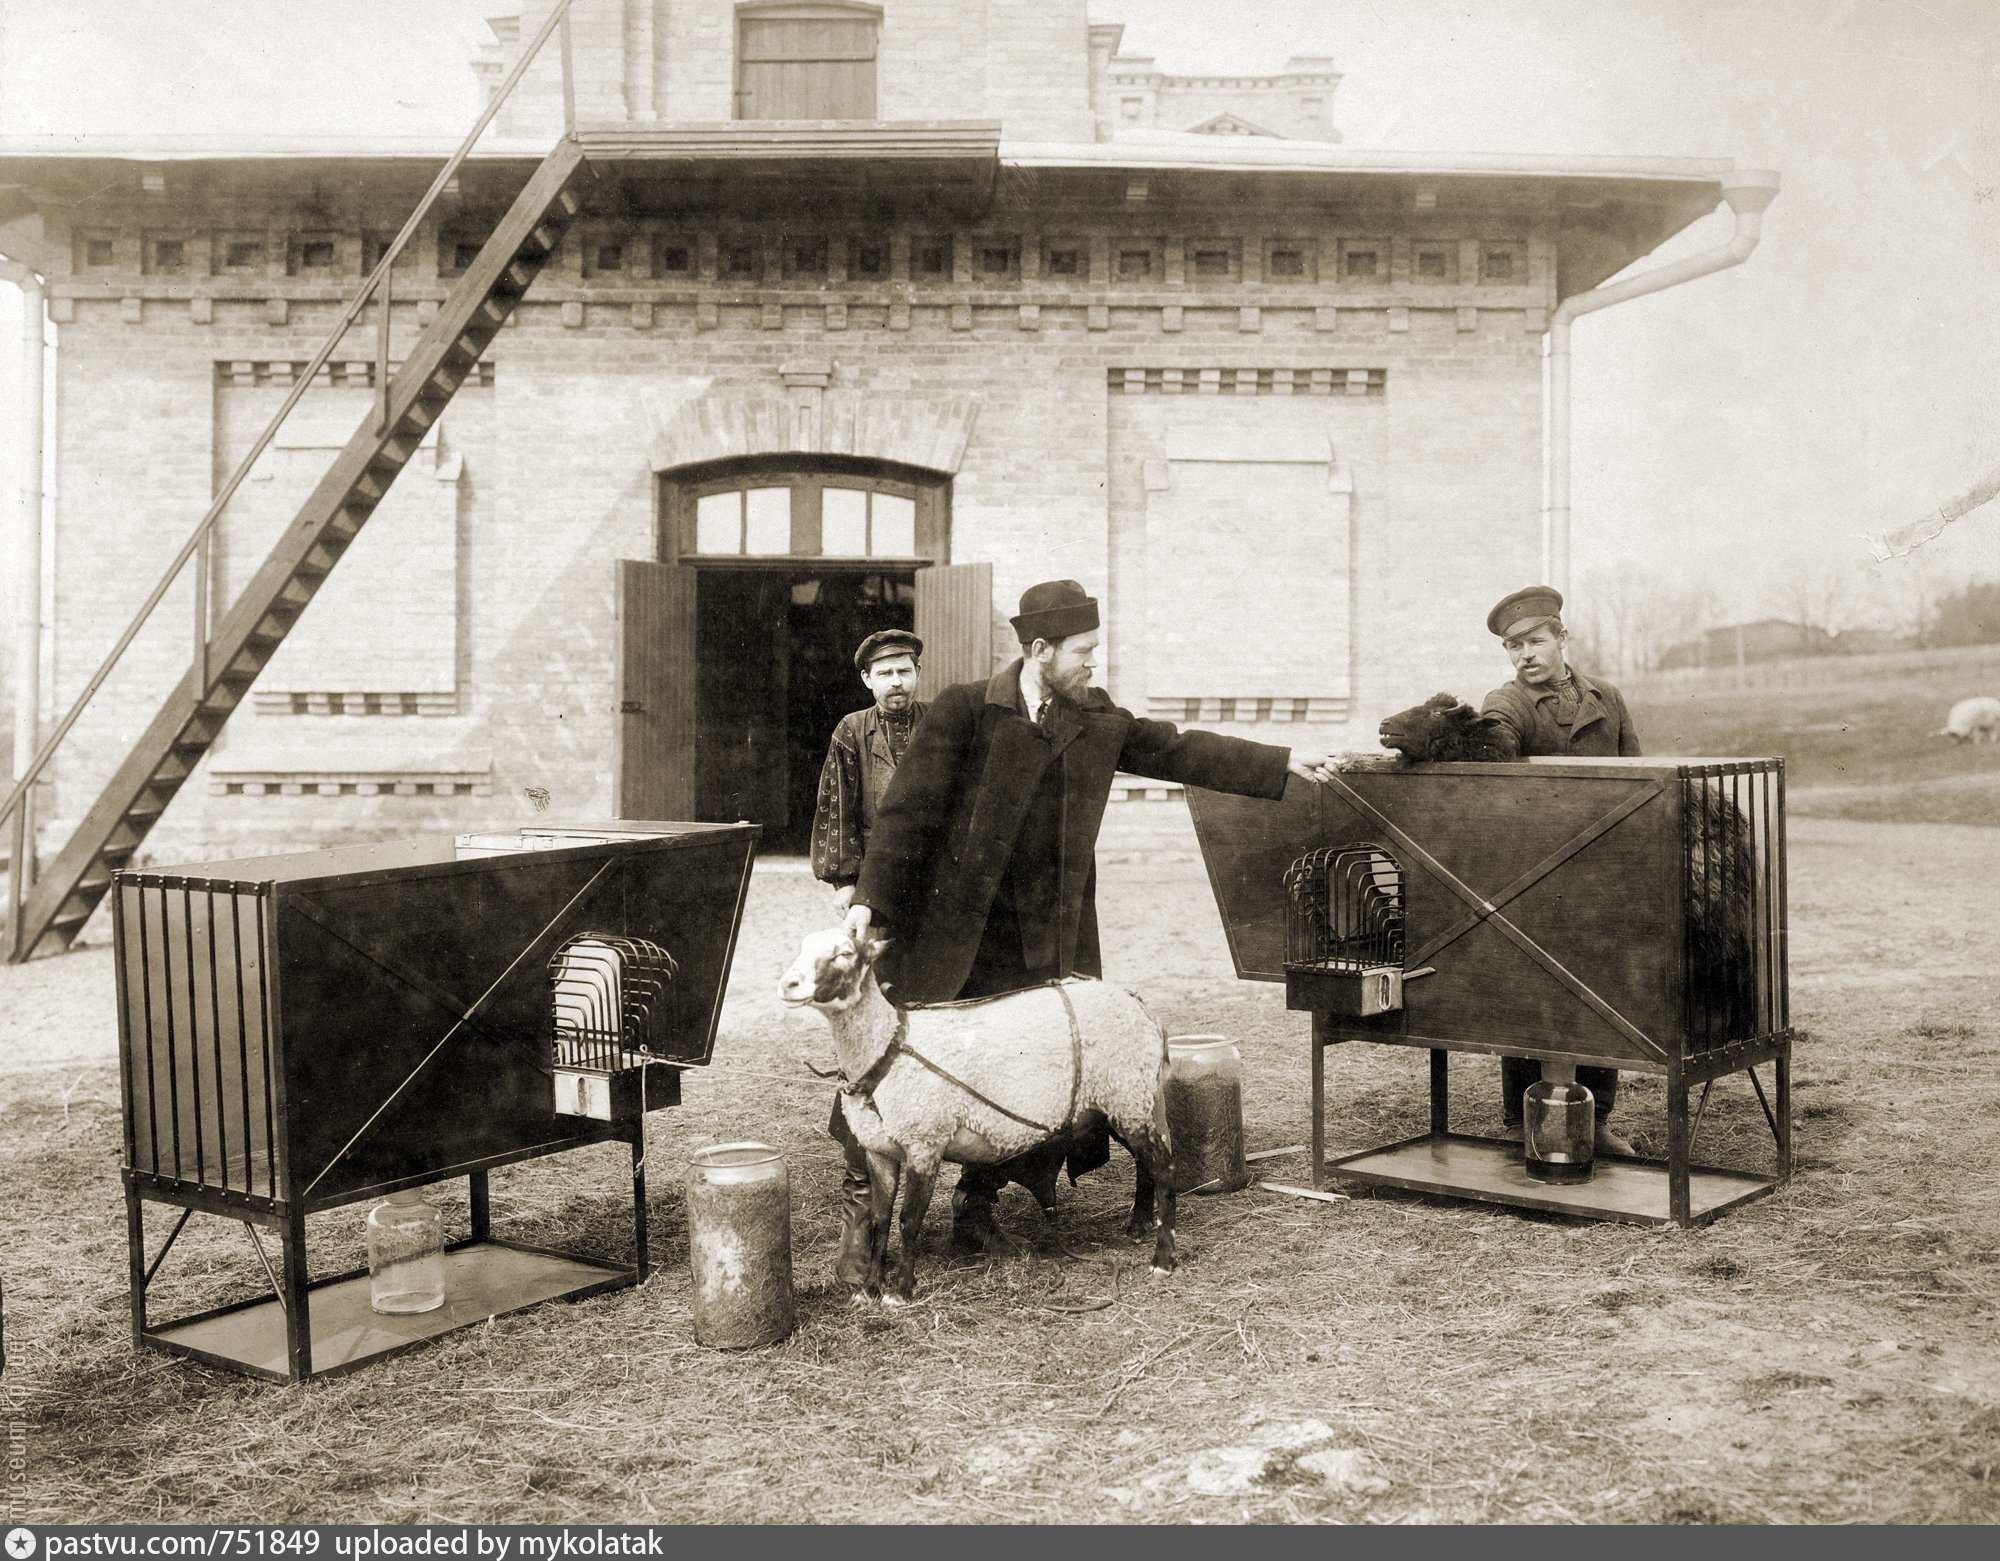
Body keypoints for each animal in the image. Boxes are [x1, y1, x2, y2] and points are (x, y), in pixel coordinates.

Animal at [779, 928, 1176, 1304]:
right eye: (801, 946)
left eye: (845, 953)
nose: (788, 984)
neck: (887, 1048)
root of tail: (1138, 1004)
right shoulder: (879, 1150)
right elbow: (879, 1220)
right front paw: (872, 1288)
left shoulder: (925, 1142)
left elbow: (908, 1221)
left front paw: (902, 1291)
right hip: (1125, 1101)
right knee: (1145, 1162)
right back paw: (1138, 1226)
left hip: (1128, 1093)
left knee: (1163, 1165)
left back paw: (1164, 1259)